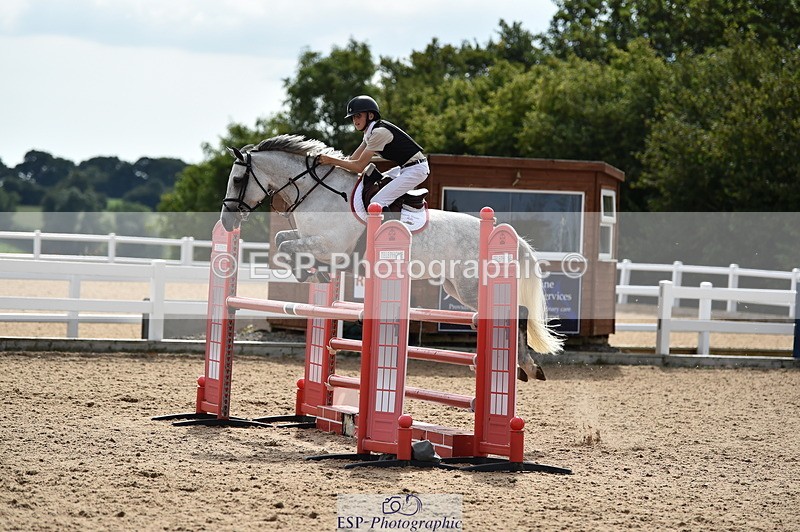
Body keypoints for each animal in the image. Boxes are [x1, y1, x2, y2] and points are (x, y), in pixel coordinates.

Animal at [219, 134, 563, 381]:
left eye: (237, 180)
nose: (226, 221)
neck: (319, 193)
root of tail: (508, 237)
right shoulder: (316, 242)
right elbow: (283, 241)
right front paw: (315, 273)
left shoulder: (329, 244)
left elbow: (288, 246)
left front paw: (310, 272)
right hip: (456, 288)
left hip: (471, 287)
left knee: (517, 312)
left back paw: (527, 366)